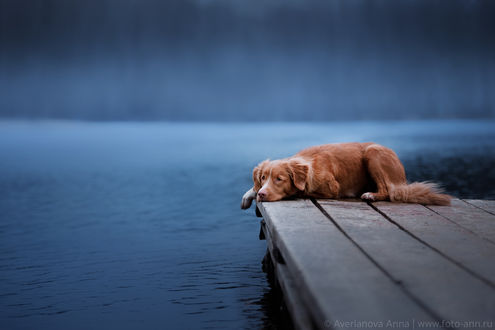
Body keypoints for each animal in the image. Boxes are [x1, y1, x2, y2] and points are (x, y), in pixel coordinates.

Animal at [241, 142, 454, 209]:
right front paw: (251, 193)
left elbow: (301, 191)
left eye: (280, 179)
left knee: (389, 192)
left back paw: (371, 194)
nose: (262, 194)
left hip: (373, 152)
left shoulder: (331, 189)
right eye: (263, 178)